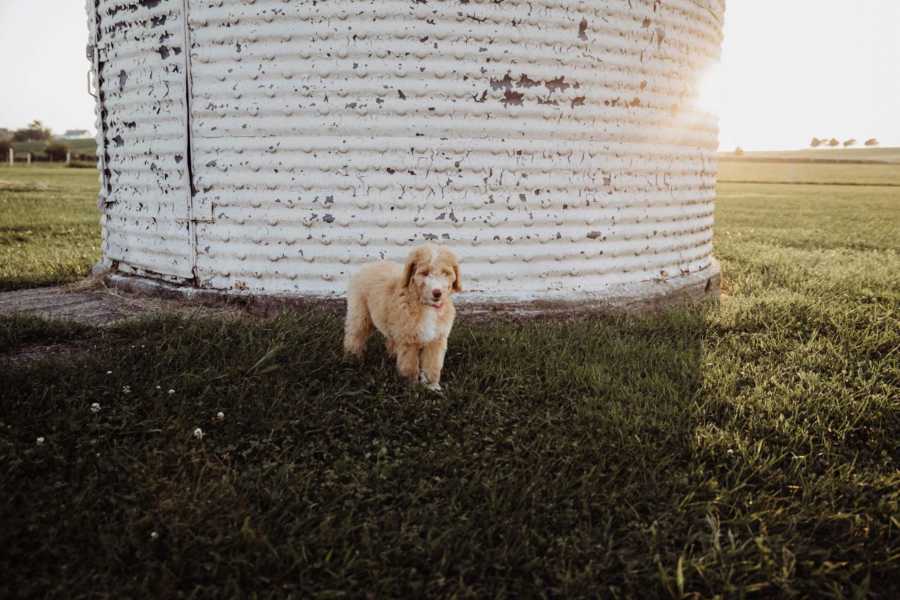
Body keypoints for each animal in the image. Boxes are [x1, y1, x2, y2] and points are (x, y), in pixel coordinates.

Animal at [342, 241, 460, 392]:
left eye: (445, 273)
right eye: (425, 273)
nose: (437, 293)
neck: (425, 305)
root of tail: (369, 265)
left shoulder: (436, 339)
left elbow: (432, 364)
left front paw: (432, 386)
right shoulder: (408, 339)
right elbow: (410, 365)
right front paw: (411, 387)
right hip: (360, 312)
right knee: (355, 334)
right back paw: (352, 358)